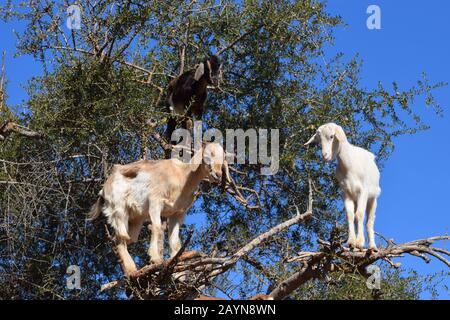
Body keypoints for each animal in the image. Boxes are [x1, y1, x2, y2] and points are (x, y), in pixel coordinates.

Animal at [90, 142, 232, 276]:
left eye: (223, 157)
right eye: (210, 154)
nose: (218, 174)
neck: (182, 177)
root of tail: (103, 189)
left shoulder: (177, 214)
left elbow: (175, 241)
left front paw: (177, 270)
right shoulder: (155, 202)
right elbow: (157, 228)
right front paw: (156, 259)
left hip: (136, 219)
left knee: (124, 238)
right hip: (119, 210)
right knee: (121, 237)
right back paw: (132, 270)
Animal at [304, 122, 382, 250]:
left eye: (331, 136)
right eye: (319, 140)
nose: (325, 155)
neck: (349, 165)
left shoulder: (363, 191)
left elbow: (360, 215)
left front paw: (360, 242)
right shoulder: (346, 193)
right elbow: (350, 216)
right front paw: (351, 242)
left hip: (373, 198)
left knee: (369, 221)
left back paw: (372, 247)